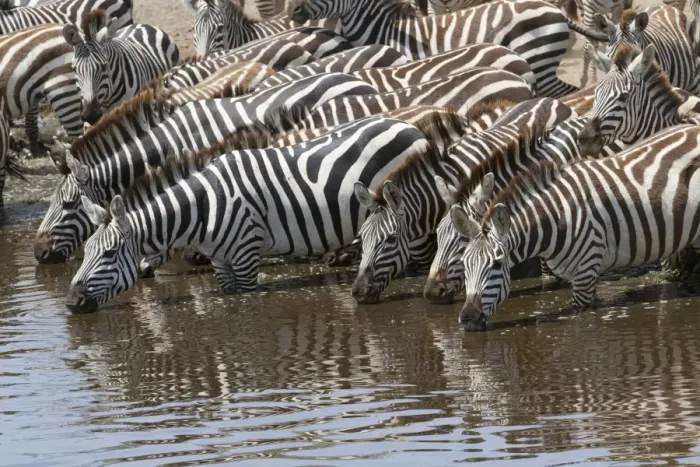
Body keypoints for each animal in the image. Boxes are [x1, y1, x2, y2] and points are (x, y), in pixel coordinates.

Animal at [64, 116, 437, 313]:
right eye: (87, 251)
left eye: (109, 254)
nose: (71, 301)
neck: (203, 209)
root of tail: (409, 127)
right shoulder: (221, 260)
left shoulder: (246, 253)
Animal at [451, 124, 700, 329]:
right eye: (464, 264)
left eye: (496, 264)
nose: (468, 318)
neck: (556, 218)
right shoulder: (585, 273)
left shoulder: (585, 272)